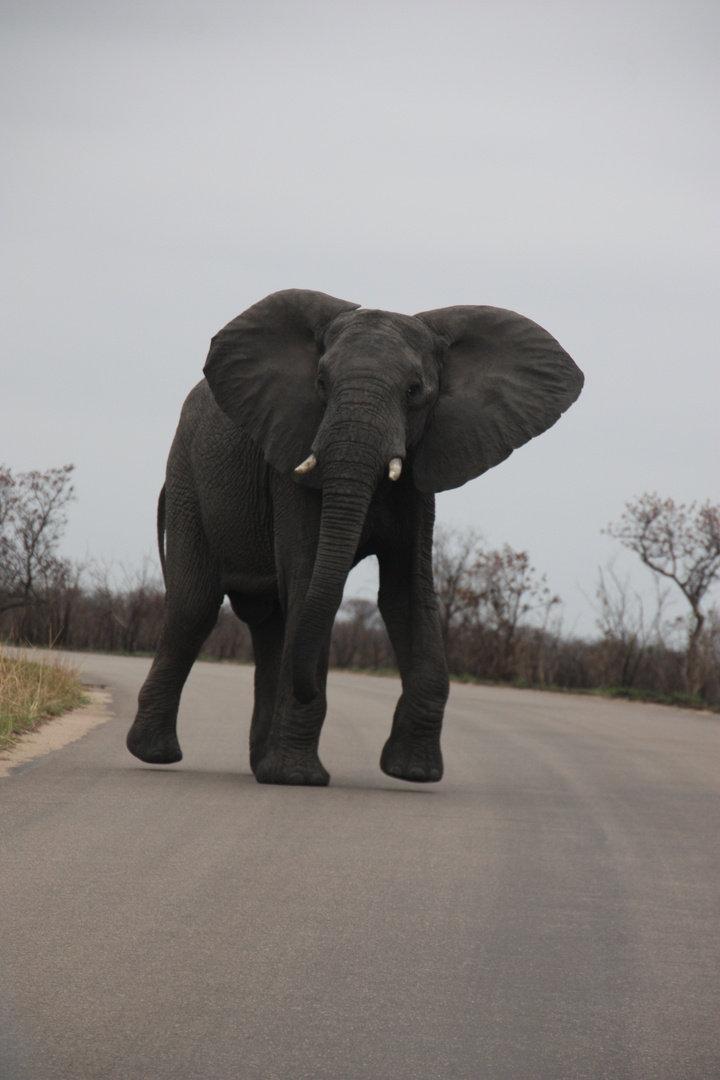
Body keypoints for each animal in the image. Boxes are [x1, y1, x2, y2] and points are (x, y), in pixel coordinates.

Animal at [126, 289, 582, 786]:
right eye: (320, 383)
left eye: (414, 390)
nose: (307, 690)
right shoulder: (293, 462)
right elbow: (309, 578)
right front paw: (299, 778)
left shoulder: (420, 476)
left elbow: (407, 594)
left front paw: (414, 772)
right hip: (187, 477)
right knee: (195, 607)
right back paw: (157, 755)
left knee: (271, 623)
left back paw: (260, 765)